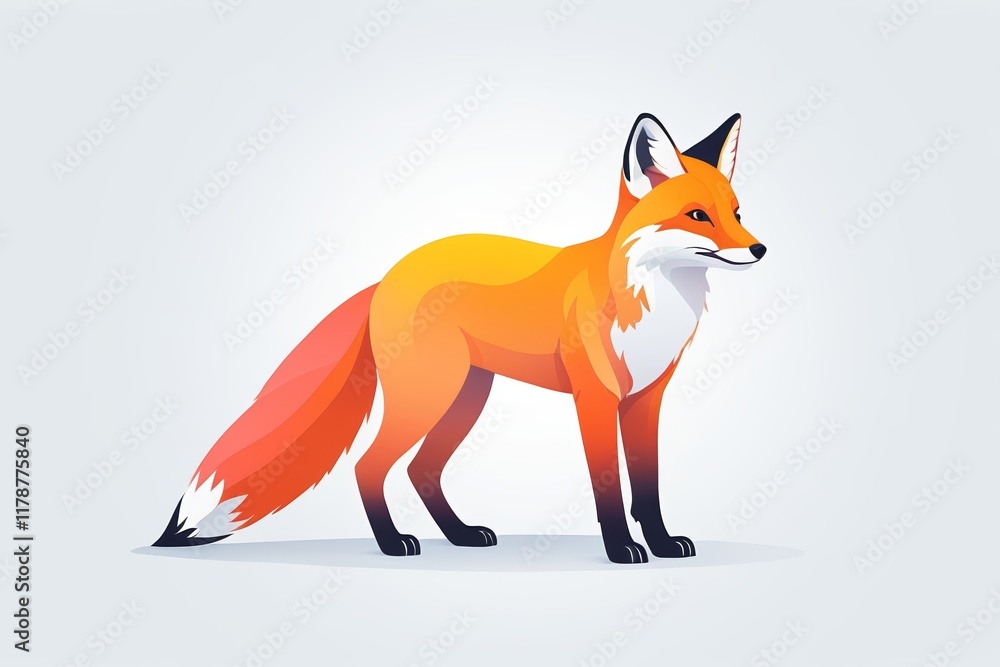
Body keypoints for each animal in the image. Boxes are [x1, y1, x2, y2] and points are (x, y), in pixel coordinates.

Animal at [153, 111, 766, 564]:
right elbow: (609, 488)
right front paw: (621, 550)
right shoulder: (595, 399)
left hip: (466, 397)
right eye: (697, 216)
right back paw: (393, 545)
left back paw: (462, 536)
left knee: (420, 471)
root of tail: (388, 275)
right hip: (431, 397)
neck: (650, 300)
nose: (759, 249)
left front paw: (661, 544)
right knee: (370, 467)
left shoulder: (645, 400)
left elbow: (649, 486)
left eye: (737, 213)